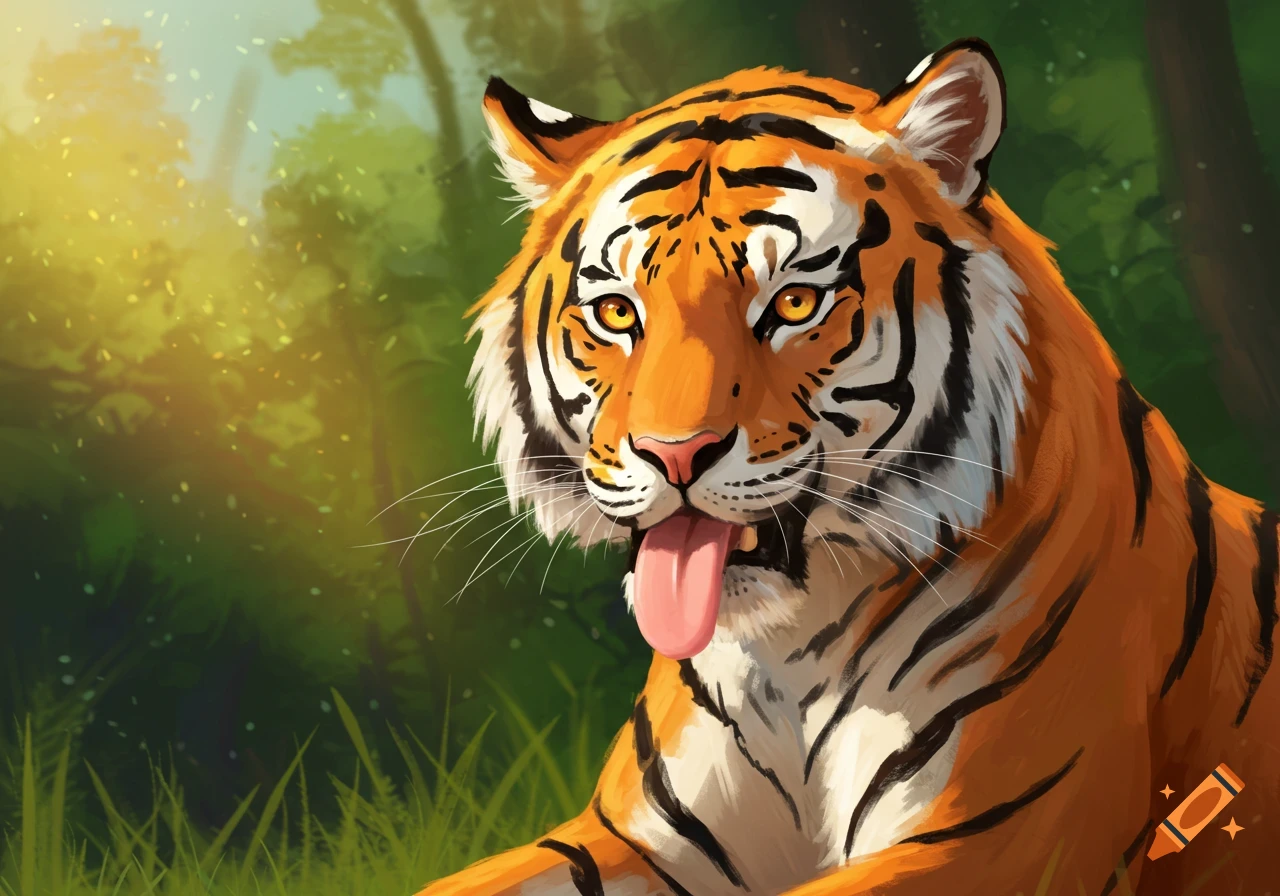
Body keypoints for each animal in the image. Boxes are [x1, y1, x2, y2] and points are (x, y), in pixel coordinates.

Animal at [418, 38, 1278, 896]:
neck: (789, 653)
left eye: (795, 304)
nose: (673, 454)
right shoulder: (631, 836)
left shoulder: (994, 838)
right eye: (617, 312)